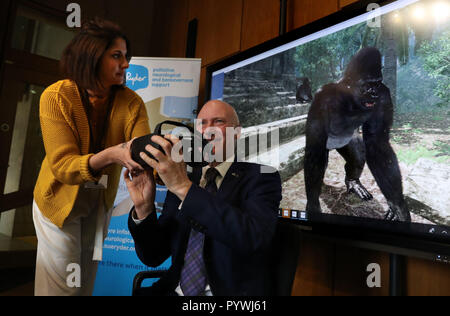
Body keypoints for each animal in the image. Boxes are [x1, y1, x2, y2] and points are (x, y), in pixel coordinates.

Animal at [302, 46, 412, 222]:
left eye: (377, 83)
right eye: (368, 85)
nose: (374, 93)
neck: (350, 96)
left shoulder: (384, 95)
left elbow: (377, 144)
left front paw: (398, 206)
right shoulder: (321, 98)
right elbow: (315, 147)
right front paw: (312, 205)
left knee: (358, 155)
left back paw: (353, 182)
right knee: (321, 157)